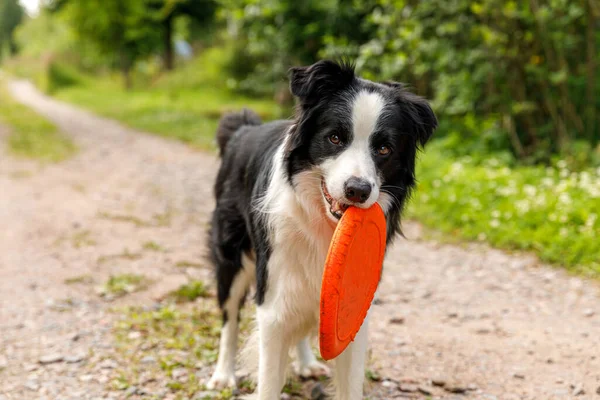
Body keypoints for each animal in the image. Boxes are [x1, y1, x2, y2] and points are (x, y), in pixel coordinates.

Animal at [206, 60, 436, 400]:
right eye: (336, 138)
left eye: (384, 149)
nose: (358, 190)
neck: (324, 225)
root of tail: (244, 129)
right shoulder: (273, 301)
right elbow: (268, 378)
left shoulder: (352, 311)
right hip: (231, 254)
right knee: (229, 317)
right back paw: (223, 375)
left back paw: (306, 363)